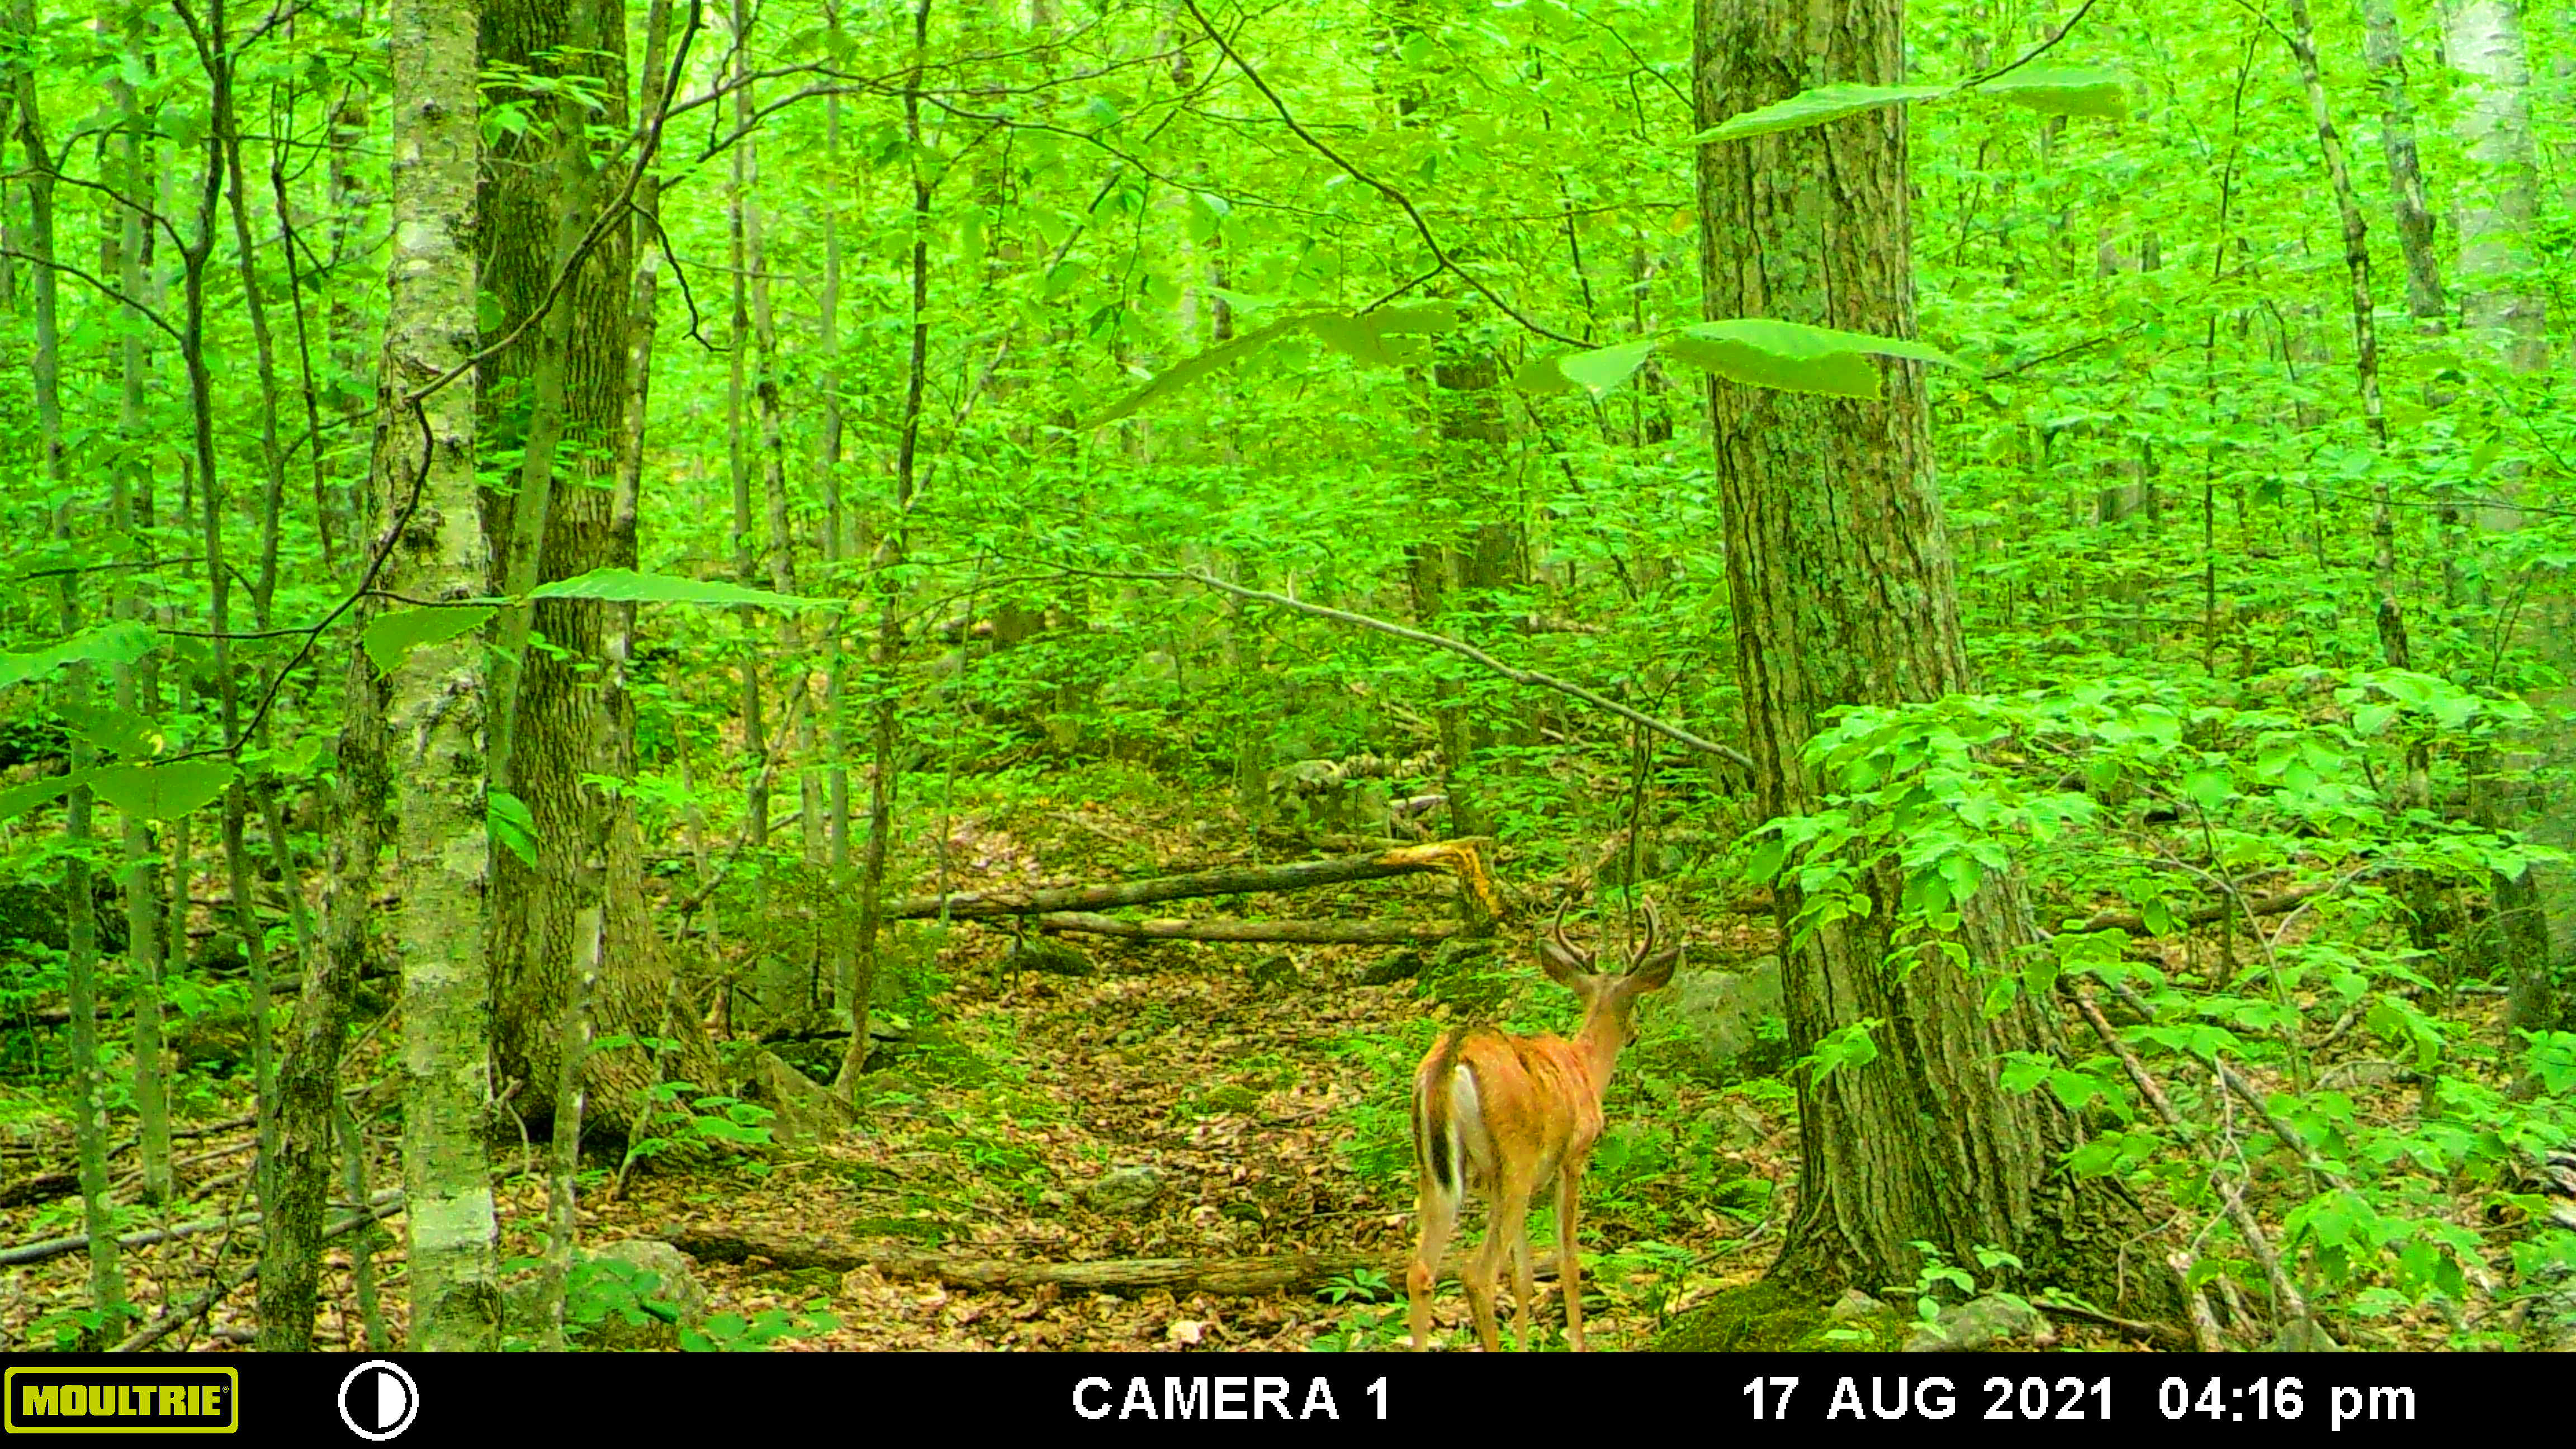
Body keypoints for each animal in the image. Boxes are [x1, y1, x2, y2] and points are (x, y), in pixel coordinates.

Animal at [1401, 892, 1679, 1341]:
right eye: (1635, 1000)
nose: (1636, 1032)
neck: (1585, 1066)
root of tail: (1451, 1058)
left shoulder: (1501, 1181)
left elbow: (1524, 1276)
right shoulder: (1574, 1156)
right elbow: (1568, 1262)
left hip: (1443, 1170)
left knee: (1421, 1270)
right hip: (1516, 1157)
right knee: (1477, 1274)